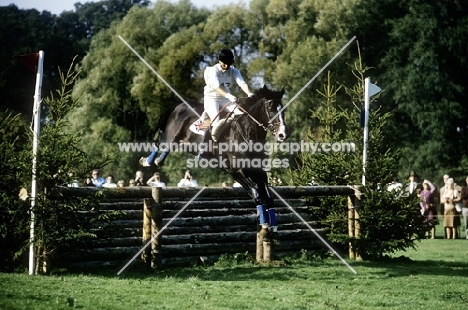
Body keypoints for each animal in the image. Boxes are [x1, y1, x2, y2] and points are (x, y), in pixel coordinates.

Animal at [141, 85, 288, 240]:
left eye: (283, 110)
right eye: (271, 109)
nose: (282, 135)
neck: (245, 134)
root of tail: (179, 105)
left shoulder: (259, 172)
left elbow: (268, 197)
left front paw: (273, 225)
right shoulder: (237, 173)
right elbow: (257, 194)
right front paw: (264, 223)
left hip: (183, 142)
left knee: (168, 146)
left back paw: (157, 160)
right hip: (171, 134)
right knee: (160, 141)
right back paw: (148, 161)